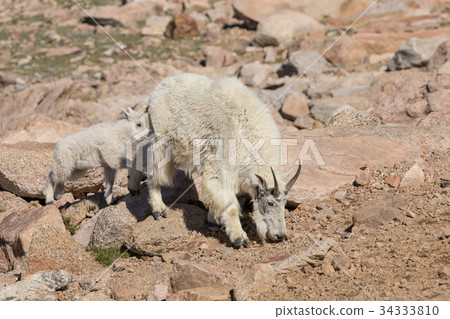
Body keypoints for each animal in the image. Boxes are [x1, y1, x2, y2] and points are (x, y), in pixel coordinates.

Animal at [142, 74, 300, 249]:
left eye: (285, 204)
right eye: (270, 203)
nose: (280, 235)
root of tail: (156, 90)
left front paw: (213, 220)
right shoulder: (221, 170)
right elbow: (229, 206)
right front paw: (239, 237)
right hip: (160, 141)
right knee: (154, 173)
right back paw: (158, 208)